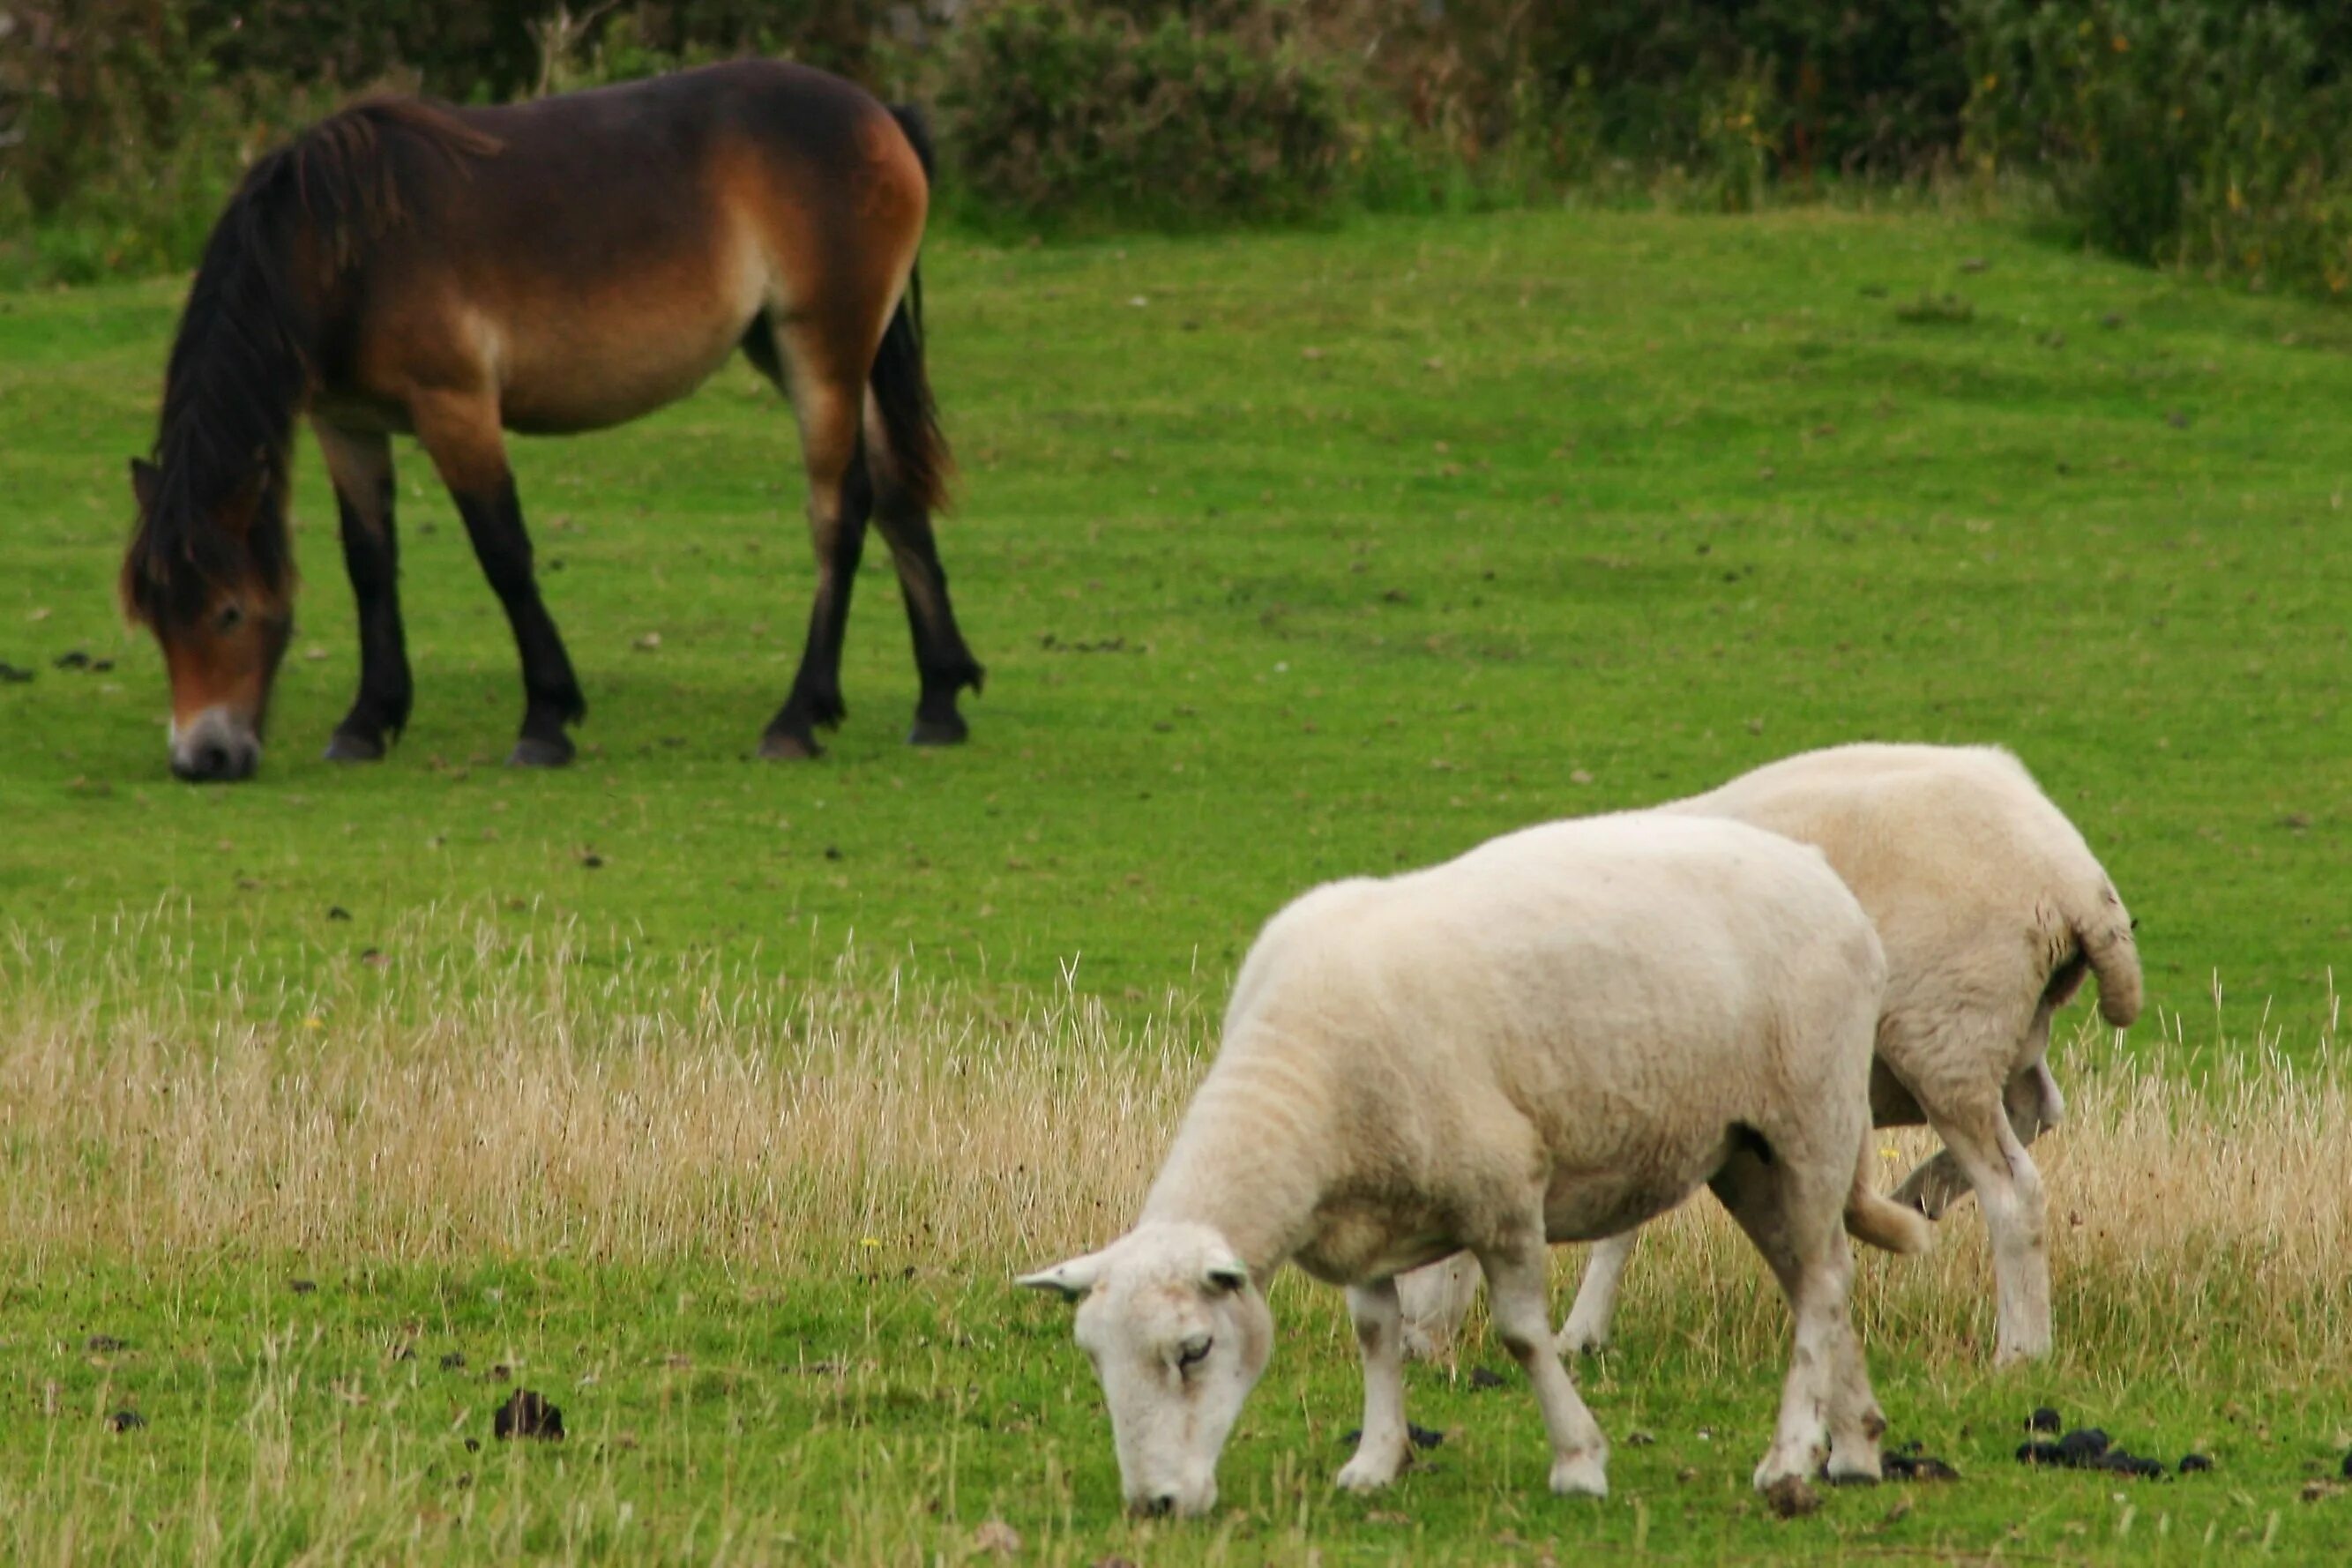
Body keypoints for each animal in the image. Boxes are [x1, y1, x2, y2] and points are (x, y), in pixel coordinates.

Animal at [116, 63, 982, 785]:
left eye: (228, 611)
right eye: (154, 616)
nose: (201, 758)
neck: (341, 246)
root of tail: (879, 114)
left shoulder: (456, 407)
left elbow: (503, 553)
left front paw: (545, 720)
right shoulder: (348, 425)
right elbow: (370, 563)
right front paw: (367, 721)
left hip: (821, 351)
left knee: (841, 512)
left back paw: (797, 719)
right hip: (804, 350)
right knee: (897, 496)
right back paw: (938, 702)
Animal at [1020, 818, 1919, 1513]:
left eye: (1194, 1350)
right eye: (1093, 1357)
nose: (1154, 1503)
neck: (1305, 1089)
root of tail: (1814, 867)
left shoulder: (1505, 1195)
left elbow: (1520, 1335)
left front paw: (1578, 1461)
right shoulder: (1362, 1223)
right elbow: (1376, 1336)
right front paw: (1376, 1460)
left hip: (1811, 1116)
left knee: (1823, 1282)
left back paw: (1789, 1455)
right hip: (1742, 1151)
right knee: (1811, 1277)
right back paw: (1855, 1445)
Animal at [1392, 743, 2154, 1363]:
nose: (1410, 1346)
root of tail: (2075, 880)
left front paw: (1576, 1332)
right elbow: (1624, 1226)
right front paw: (1585, 1333)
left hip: (1945, 1037)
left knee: (2014, 1192)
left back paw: (2019, 1352)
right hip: (2001, 1029)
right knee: (2037, 1109)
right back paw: (1918, 1196)